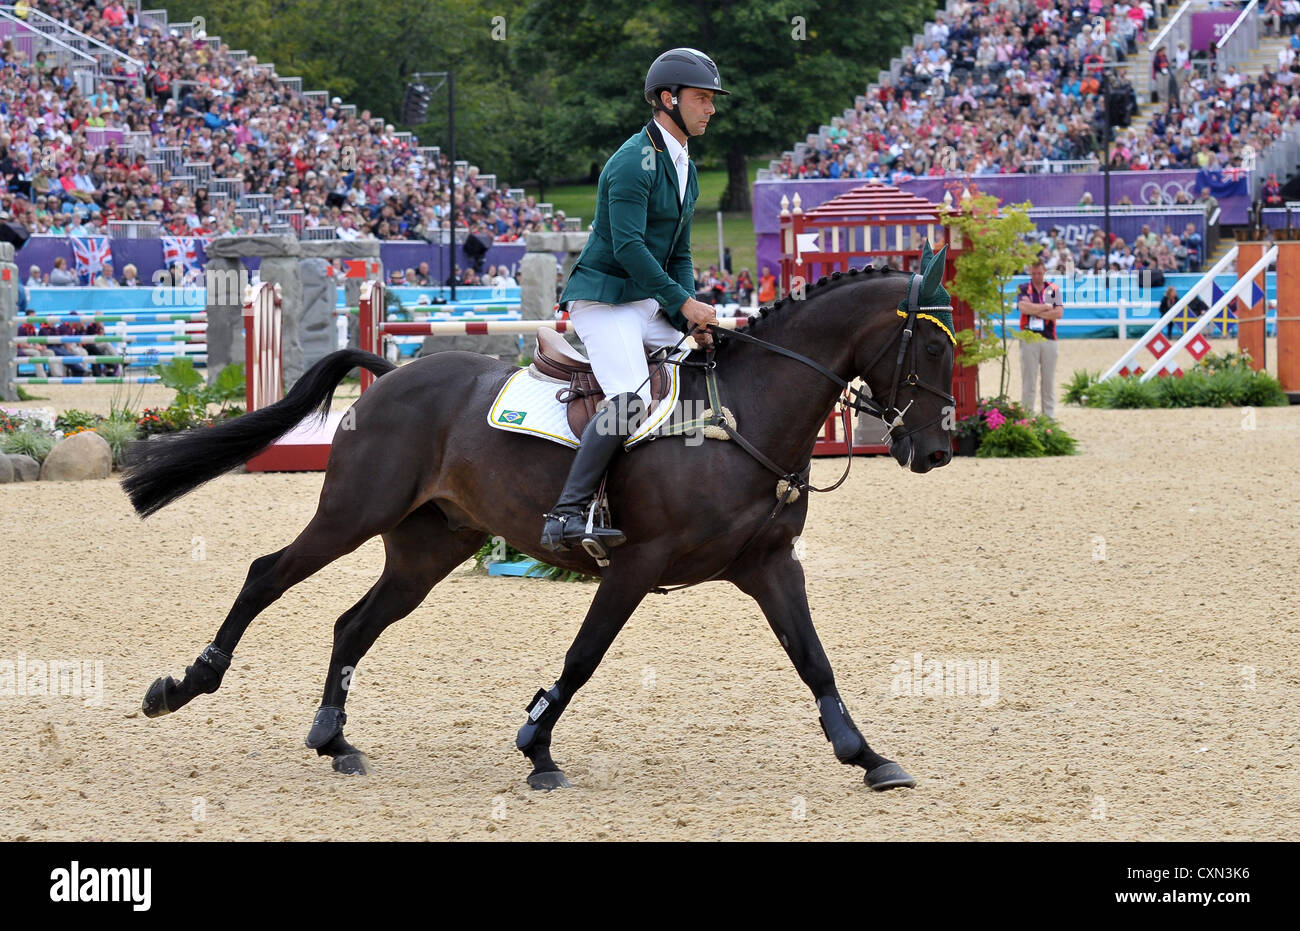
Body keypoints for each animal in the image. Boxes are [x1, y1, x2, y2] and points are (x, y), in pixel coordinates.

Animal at [122, 260, 956, 790]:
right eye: (931, 345)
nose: (937, 449)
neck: (742, 416)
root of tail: (391, 374)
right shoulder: (636, 564)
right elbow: (583, 657)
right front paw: (537, 747)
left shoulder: (771, 563)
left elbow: (814, 660)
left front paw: (867, 755)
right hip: (353, 513)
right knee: (267, 575)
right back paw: (183, 685)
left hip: (428, 548)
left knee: (352, 623)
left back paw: (335, 738)